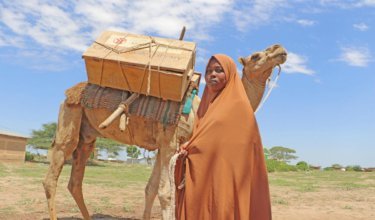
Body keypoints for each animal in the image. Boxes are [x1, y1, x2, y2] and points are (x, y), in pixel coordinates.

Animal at [41, 43, 288, 219]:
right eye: (256, 56)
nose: (280, 49)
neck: (201, 111)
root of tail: (69, 93)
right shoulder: (170, 142)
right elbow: (166, 194)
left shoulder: (162, 146)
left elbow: (151, 189)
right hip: (69, 121)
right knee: (51, 176)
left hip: (88, 137)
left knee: (75, 181)